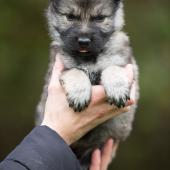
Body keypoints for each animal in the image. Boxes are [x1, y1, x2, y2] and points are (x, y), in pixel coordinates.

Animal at [36, 0, 139, 169]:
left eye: (99, 18)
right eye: (70, 17)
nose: (83, 42)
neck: (88, 58)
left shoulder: (125, 63)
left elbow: (113, 67)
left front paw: (117, 88)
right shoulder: (60, 68)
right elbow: (76, 71)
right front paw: (79, 94)